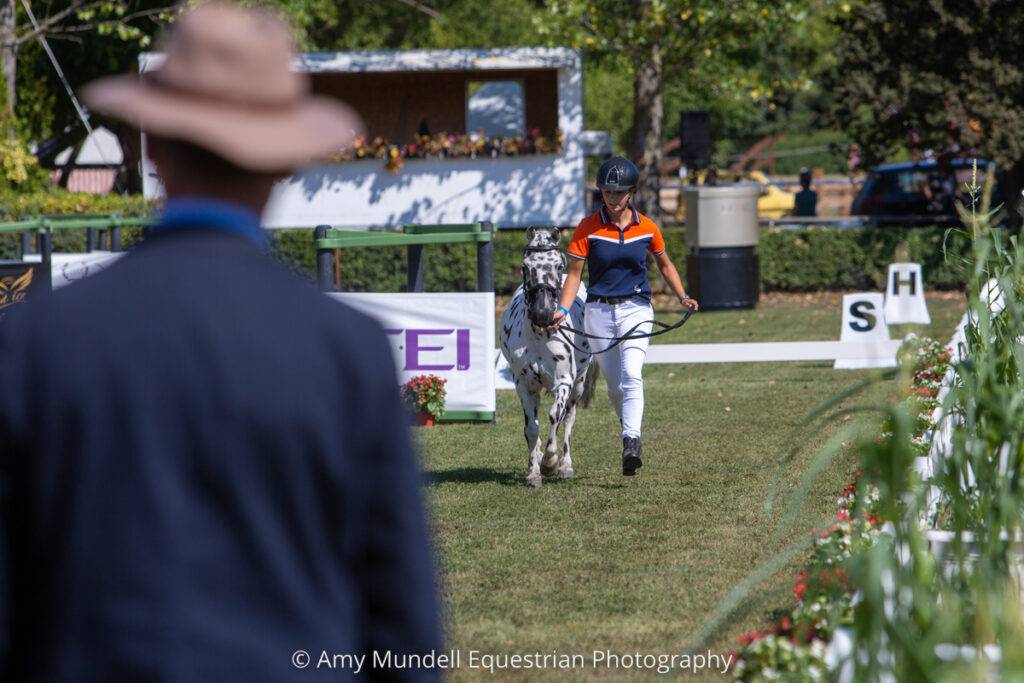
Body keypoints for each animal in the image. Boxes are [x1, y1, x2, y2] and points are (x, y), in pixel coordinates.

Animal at [499, 227, 599, 488]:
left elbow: (556, 416)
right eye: (525, 266)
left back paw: (565, 466)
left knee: (569, 418)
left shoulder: (563, 382)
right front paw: (534, 471)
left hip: (578, 384)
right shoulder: (524, 385)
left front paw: (550, 463)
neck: (539, 336)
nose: (542, 314)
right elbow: (531, 428)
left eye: (559, 265)